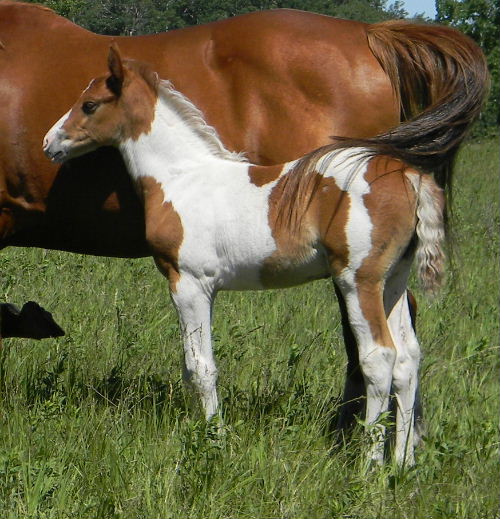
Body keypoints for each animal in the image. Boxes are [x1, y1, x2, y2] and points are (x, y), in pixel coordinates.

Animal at [0, 1, 488, 438]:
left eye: (88, 104)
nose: (49, 143)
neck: (185, 175)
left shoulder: (189, 282)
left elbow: (200, 366)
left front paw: (213, 438)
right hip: (392, 278)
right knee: (407, 356)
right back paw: (400, 462)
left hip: (358, 280)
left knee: (378, 357)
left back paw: (364, 458)